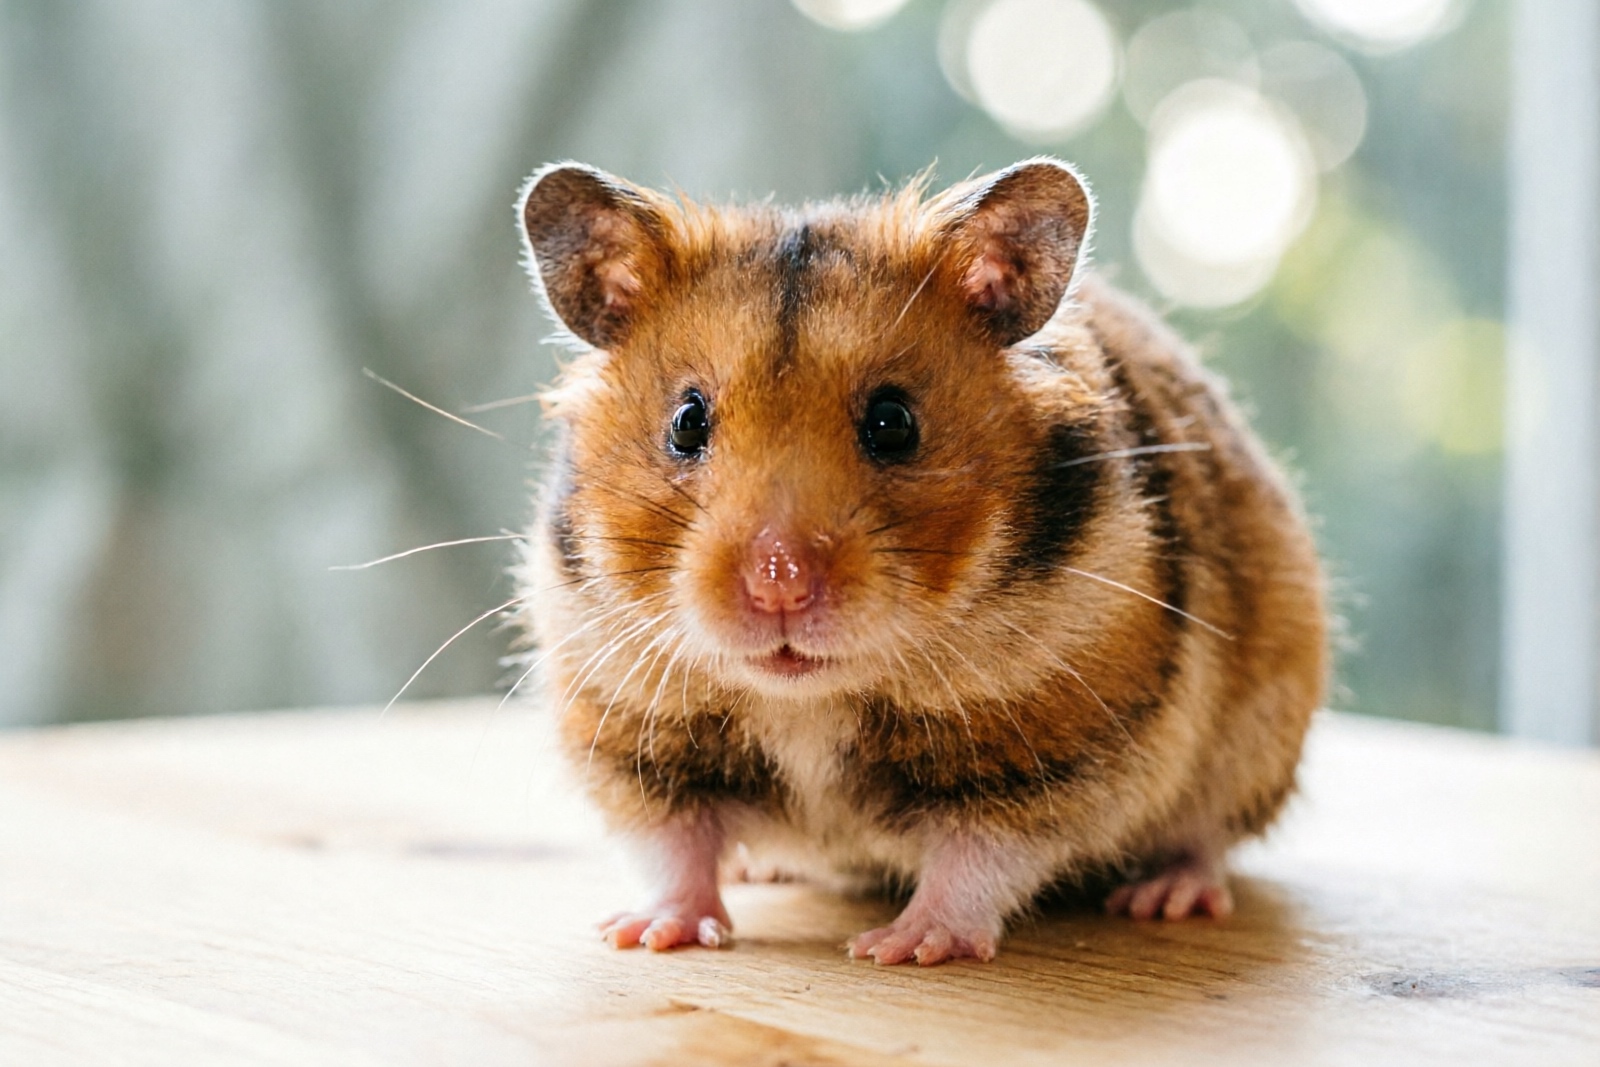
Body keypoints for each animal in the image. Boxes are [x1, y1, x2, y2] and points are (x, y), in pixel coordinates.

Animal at [512, 158, 1328, 966]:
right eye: (686, 421)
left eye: (893, 422)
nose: (780, 586)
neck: (807, 700)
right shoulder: (633, 735)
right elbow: (672, 846)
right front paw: (644, 934)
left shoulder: (1048, 752)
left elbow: (978, 858)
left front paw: (899, 948)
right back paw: (756, 867)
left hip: (1259, 729)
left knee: (1205, 837)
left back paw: (1167, 896)